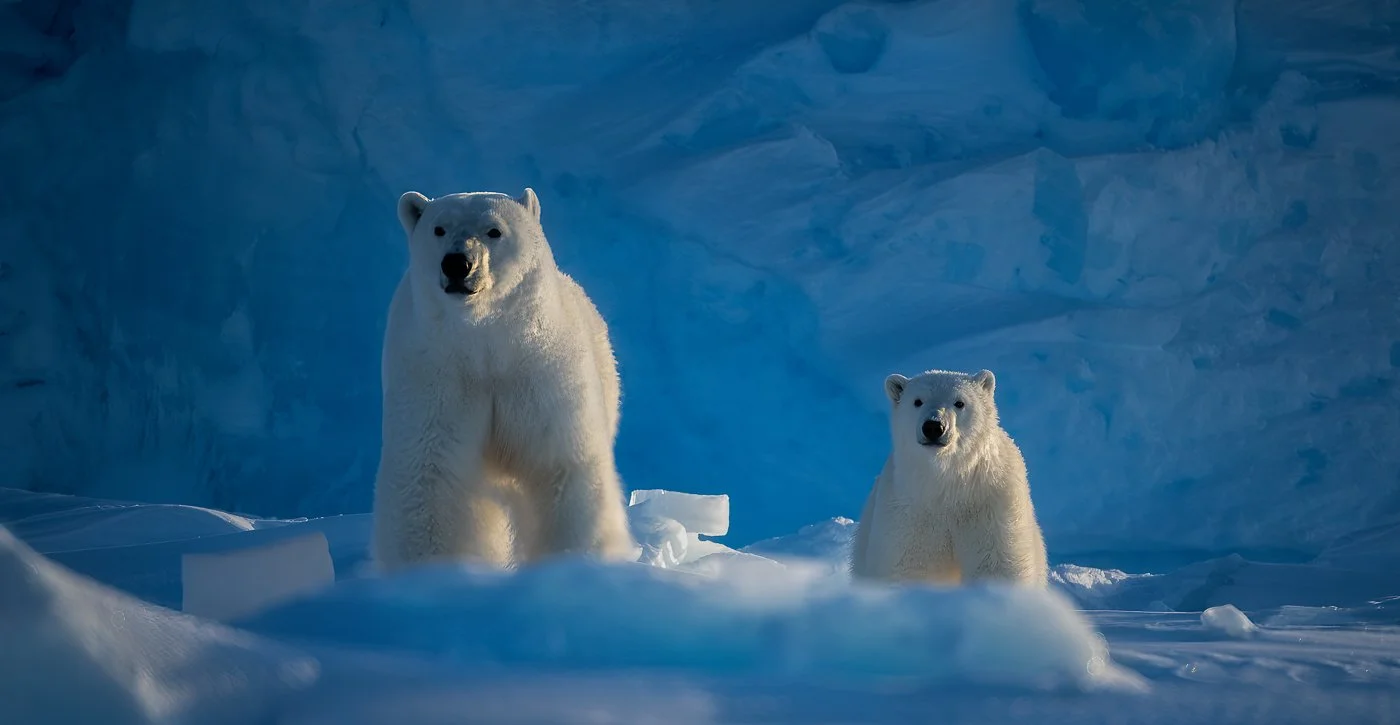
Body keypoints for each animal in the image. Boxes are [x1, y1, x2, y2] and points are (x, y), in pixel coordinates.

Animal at [370, 187, 637, 573]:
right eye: (439, 229)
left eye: (494, 230)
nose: (457, 263)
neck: (484, 337)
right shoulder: (435, 372)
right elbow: (430, 469)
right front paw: (431, 569)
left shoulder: (538, 369)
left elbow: (558, 463)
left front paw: (575, 560)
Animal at [849, 368, 1048, 587]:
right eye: (917, 401)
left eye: (959, 402)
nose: (933, 427)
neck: (947, 483)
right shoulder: (909, 511)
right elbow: (910, 566)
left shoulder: (989, 503)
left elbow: (995, 564)